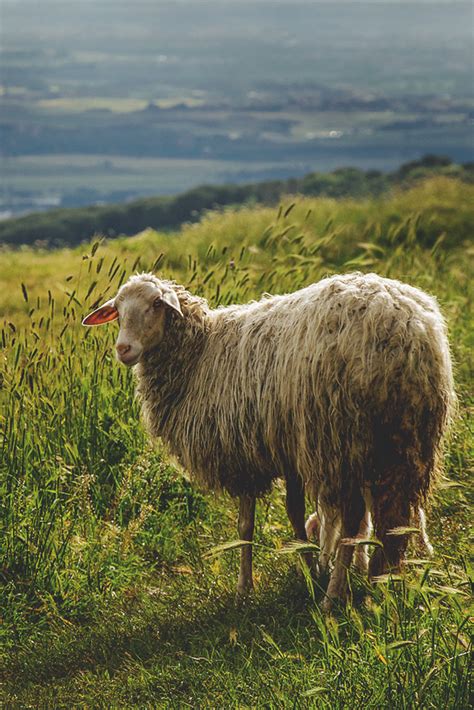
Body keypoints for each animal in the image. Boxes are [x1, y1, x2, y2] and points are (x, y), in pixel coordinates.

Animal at [83, 272, 454, 612]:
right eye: (117, 311)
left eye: (157, 304)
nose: (123, 349)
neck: (201, 353)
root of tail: (403, 326)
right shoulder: (286, 450)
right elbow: (293, 512)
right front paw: (307, 566)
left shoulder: (242, 453)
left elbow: (245, 525)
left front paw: (244, 588)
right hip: (406, 439)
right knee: (396, 516)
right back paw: (385, 579)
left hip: (343, 439)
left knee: (352, 517)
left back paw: (334, 596)